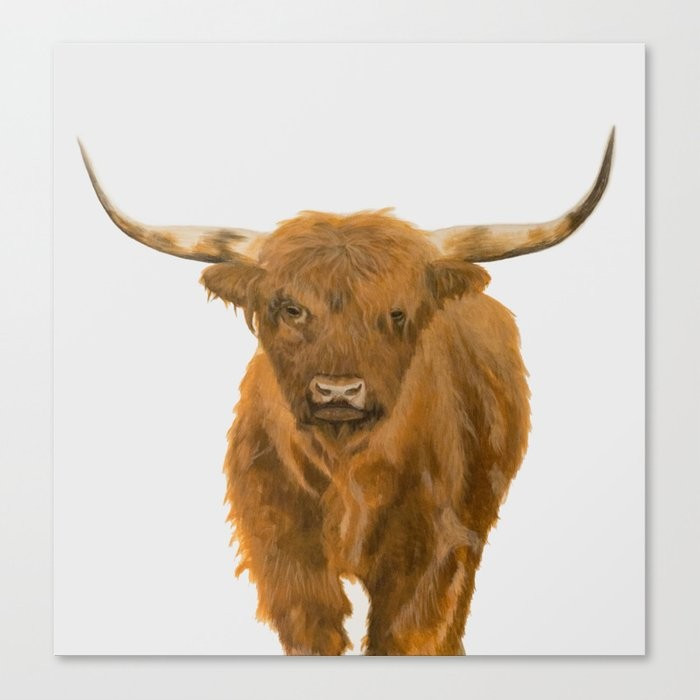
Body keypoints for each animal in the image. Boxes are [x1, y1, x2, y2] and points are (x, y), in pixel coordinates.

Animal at [79, 130, 614, 655]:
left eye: (397, 313)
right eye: (290, 308)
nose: (338, 390)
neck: (345, 463)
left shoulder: (435, 544)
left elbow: (408, 632)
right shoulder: (280, 543)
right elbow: (313, 626)